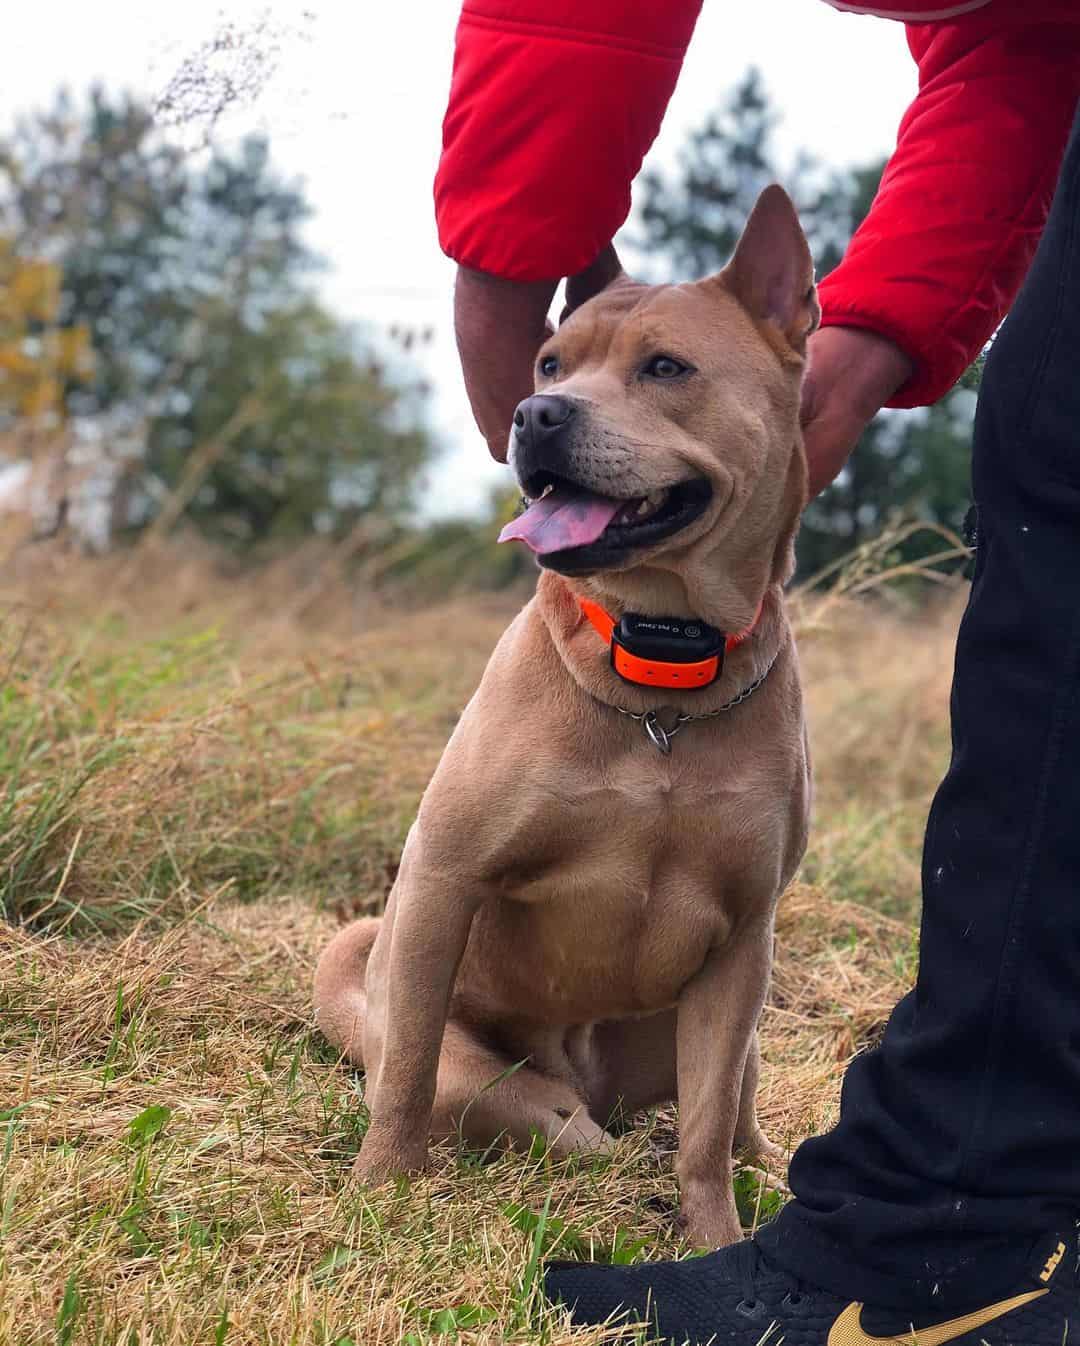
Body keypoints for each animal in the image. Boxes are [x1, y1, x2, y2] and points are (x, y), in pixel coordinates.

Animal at [315, 184, 813, 1243]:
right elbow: (409, 1064)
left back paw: (766, 1171)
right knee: (542, 1116)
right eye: (550, 362)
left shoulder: (743, 944)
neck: (659, 669)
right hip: (455, 1032)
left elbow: (708, 1126)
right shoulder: (444, 876)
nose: (535, 413)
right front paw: (381, 1188)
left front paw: (715, 1239)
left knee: (729, 1108)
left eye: (666, 368)